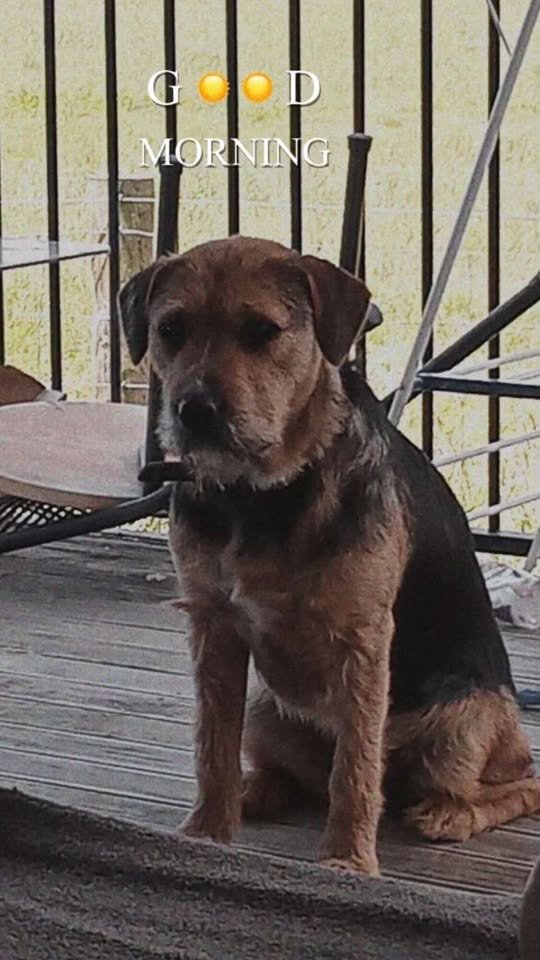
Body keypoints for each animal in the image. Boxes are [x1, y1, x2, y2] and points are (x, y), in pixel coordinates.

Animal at [120, 235, 540, 876]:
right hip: (267, 707)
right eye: (171, 329)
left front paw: (346, 862)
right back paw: (256, 790)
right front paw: (206, 834)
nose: (195, 411)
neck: (263, 493)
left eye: (261, 330)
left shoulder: (363, 642)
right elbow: (212, 748)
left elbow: (357, 769)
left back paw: (450, 812)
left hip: (463, 724)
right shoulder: (214, 628)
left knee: (518, 783)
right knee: (297, 776)